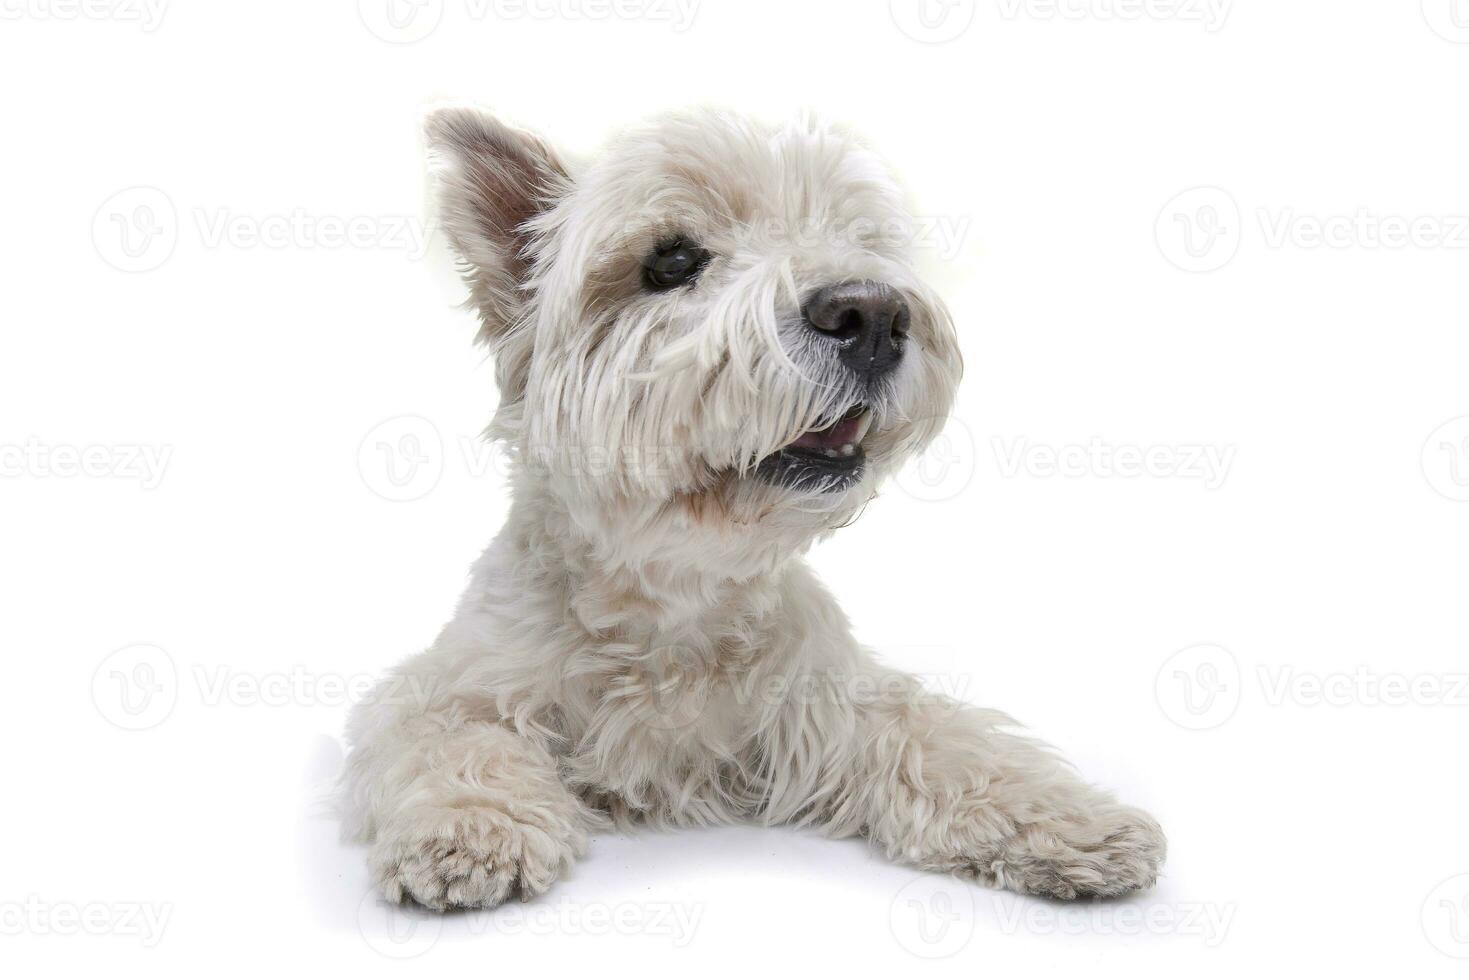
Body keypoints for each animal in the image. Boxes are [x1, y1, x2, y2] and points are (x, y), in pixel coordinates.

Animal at [337, 107, 1163, 910]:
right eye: (670, 261)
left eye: (856, 240)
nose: (872, 313)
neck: (674, 599)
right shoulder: (450, 686)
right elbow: (456, 742)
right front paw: (468, 827)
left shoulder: (833, 697)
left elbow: (943, 739)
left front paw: (1071, 818)